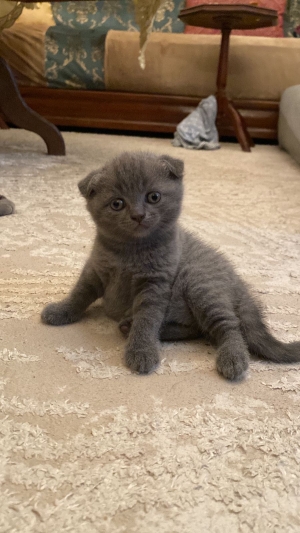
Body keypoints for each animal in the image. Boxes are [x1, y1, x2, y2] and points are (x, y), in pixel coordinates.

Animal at [41, 152, 300, 380]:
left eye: (153, 197)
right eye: (117, 203)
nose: (138, 215)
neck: (130, 253)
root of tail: (239, 283)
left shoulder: (155, 283)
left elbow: (147, 319)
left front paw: (142, 350)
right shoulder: (96, 269)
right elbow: (80, 293)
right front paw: (61, 311)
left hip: (200, 285)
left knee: (229, 326)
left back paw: (233, 358)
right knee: (199, 329)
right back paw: (132, 326)